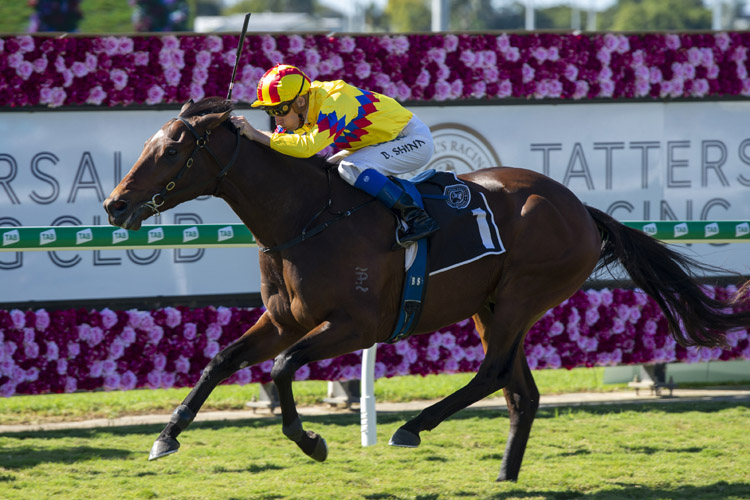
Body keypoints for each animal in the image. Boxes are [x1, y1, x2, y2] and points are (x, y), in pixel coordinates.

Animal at [101, 97, 750, 480]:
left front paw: (310, 441)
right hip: (493, 304)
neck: (305, 217)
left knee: (493, 374)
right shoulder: (286, 320)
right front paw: (165, 438)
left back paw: (412, 428)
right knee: (522, 392)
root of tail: (581, 210)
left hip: (522, 295)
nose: (115, 205)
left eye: (173, 148)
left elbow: (282, 368)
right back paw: (504, 477)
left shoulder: (355, 325)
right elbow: (223, 360)